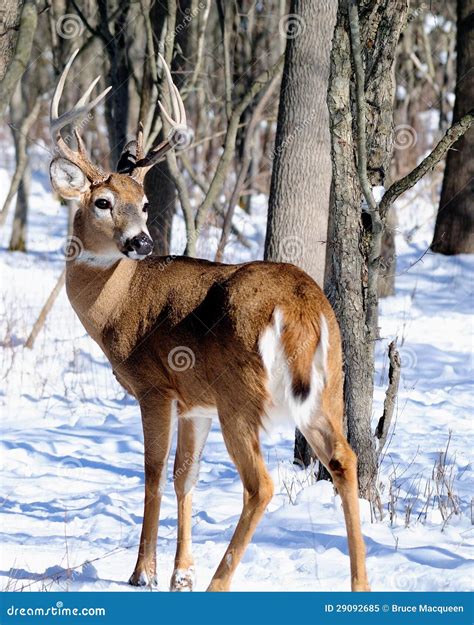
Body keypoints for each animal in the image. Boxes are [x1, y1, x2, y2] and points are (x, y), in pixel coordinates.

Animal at [49, 47, 370, 588]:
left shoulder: (155, 387)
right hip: (327, 384)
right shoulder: (194, 402)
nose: (142, 242)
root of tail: (301, 305)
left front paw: (144, 573)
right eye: (104, 202)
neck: (118, 306)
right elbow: (186, 476)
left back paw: (220, 581)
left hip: (240, 394)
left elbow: (154, 473)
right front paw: (181, 573)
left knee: (261, 484)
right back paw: (360, 583)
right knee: (344, 459)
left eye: (145, 203)